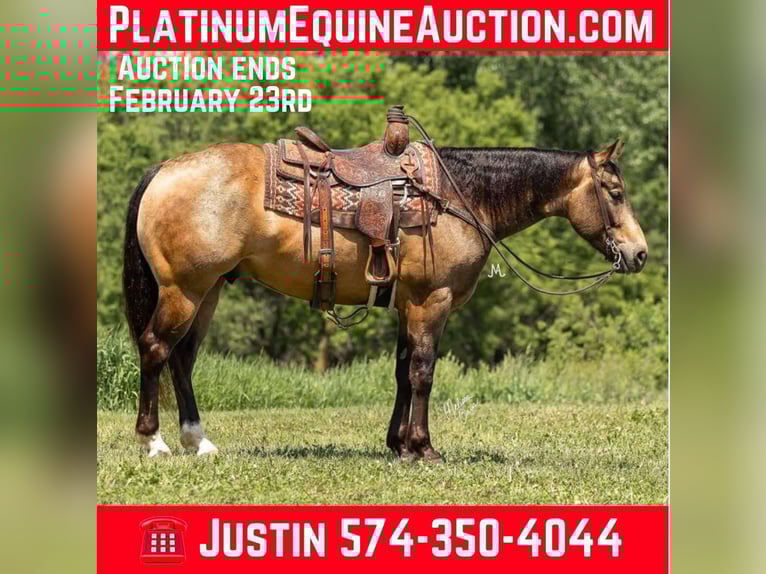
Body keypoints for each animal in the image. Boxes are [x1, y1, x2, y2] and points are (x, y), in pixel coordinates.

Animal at [122, 135, 647, 461]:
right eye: (614, 191)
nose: (639, 253)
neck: (460, 198)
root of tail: (165, 169)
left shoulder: (406, 305)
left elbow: (401, 372)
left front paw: (397, 444)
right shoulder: (432, 302)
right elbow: (423, 373)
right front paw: (423, 447)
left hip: (207, 291)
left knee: (182, 359)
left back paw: (198, 441)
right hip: (184, 290)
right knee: (155, 348)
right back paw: (154, 442)